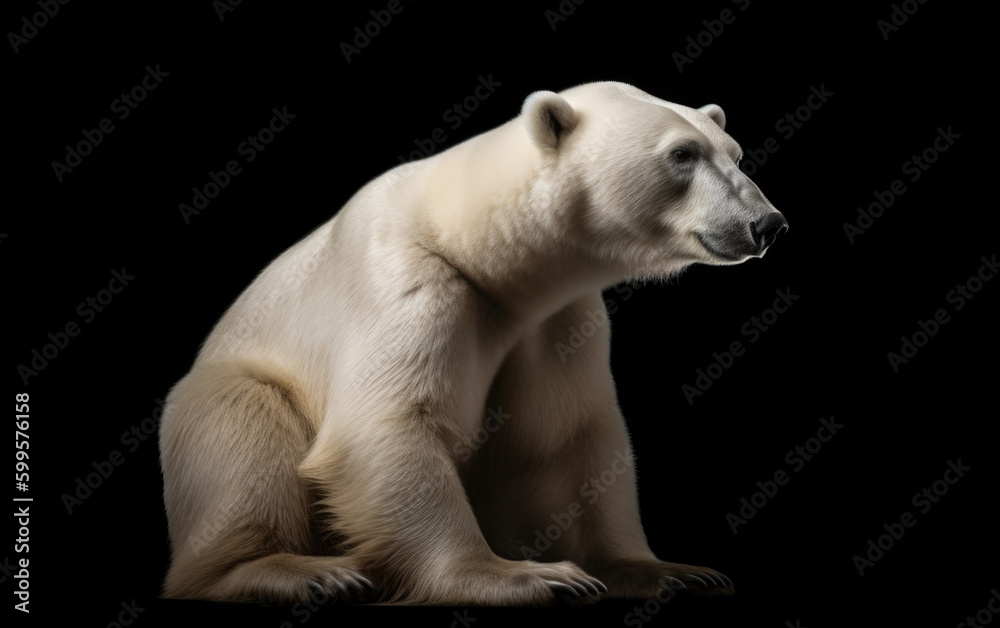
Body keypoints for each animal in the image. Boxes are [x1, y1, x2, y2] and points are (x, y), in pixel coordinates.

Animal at [158, 81, 787, 606]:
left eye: (735, 153)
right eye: (683, 154)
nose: (768, 224)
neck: (475, 245)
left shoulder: (556, 321)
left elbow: (573, 437)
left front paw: (668, 570)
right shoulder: (410, 286)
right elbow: (390, 424)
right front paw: (523, 576)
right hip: (226, 395)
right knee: (243, 427)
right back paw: (303, 572)